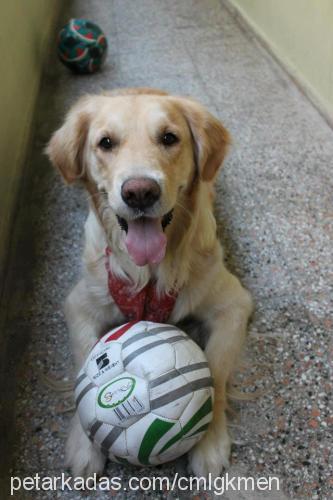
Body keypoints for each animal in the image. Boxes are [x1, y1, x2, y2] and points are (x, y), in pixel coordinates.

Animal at [46, 88, 252, 478]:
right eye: (106, 143)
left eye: (169, 138)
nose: (140, 192)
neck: (150, 272)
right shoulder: (79, 304)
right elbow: (84, 360)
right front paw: (84, 444)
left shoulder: (234, 304)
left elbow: (215, 370)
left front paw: (209, 442)